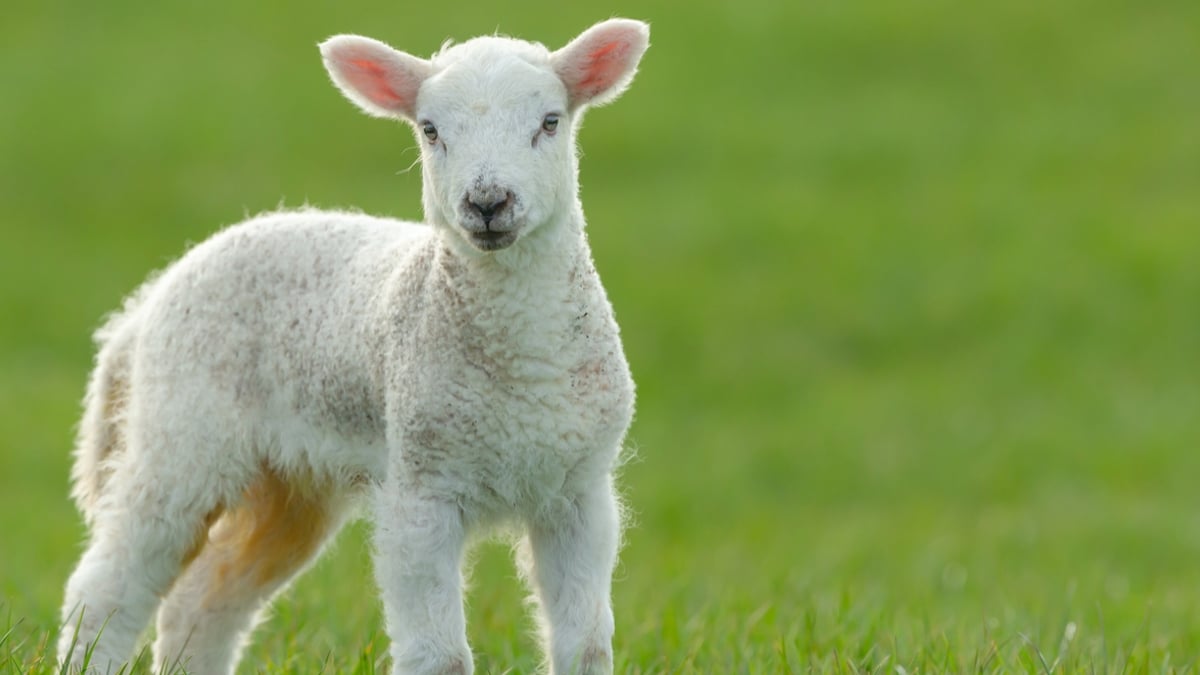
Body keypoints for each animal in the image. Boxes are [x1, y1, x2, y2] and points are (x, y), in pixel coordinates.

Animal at [58, 18, 648, 667]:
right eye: (430, 129)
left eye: (550, 122)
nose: (488, 203)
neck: (523, 368)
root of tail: (149, 299)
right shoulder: (420, 487)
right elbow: (440, 655)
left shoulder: (579, 494)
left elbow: (585, 644)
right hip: (181, 432)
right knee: (109, 583)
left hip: (290, 486)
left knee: (204, 600)